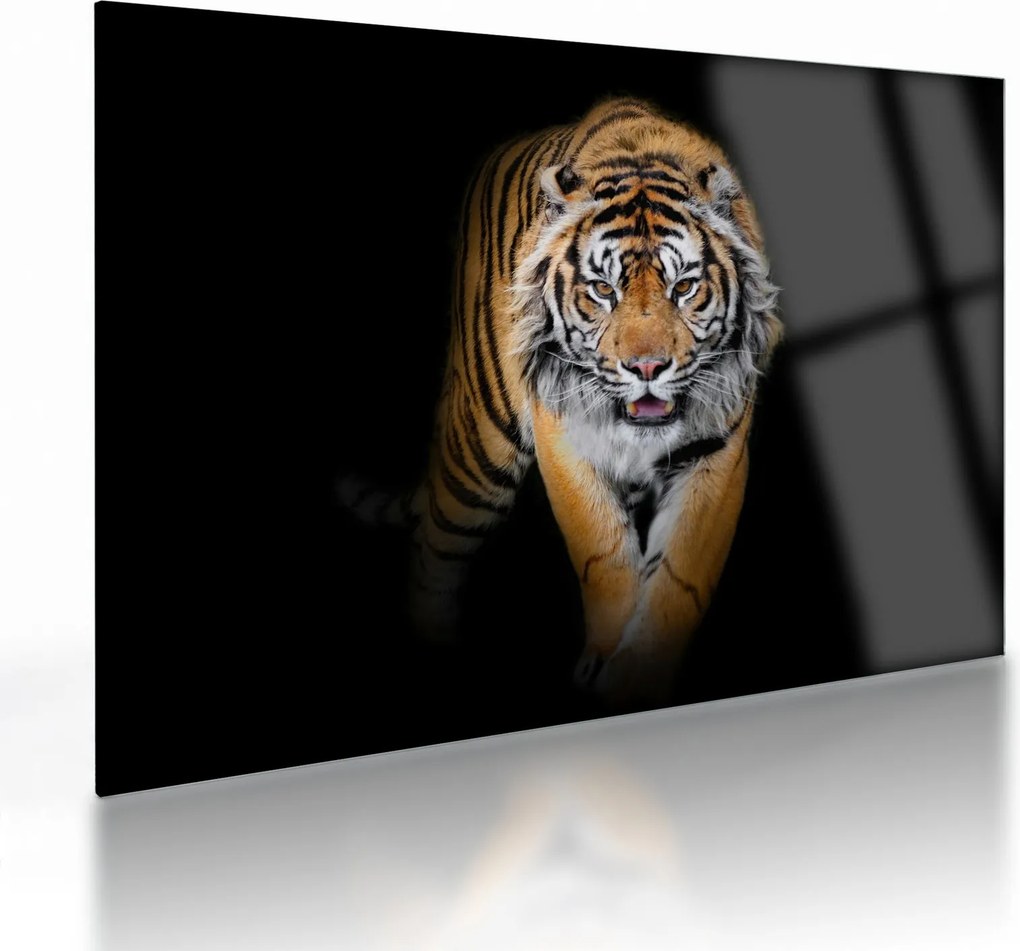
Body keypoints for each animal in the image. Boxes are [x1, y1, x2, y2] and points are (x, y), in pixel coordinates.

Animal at [343, 97, 782, 707]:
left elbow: (680, 577)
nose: (647, 368)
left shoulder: (717, 449)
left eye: (684, 288)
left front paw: (637, 676)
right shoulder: (564, 433)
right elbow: (604, 554)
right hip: (480, 449)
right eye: (603, 290)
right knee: (435, 549)